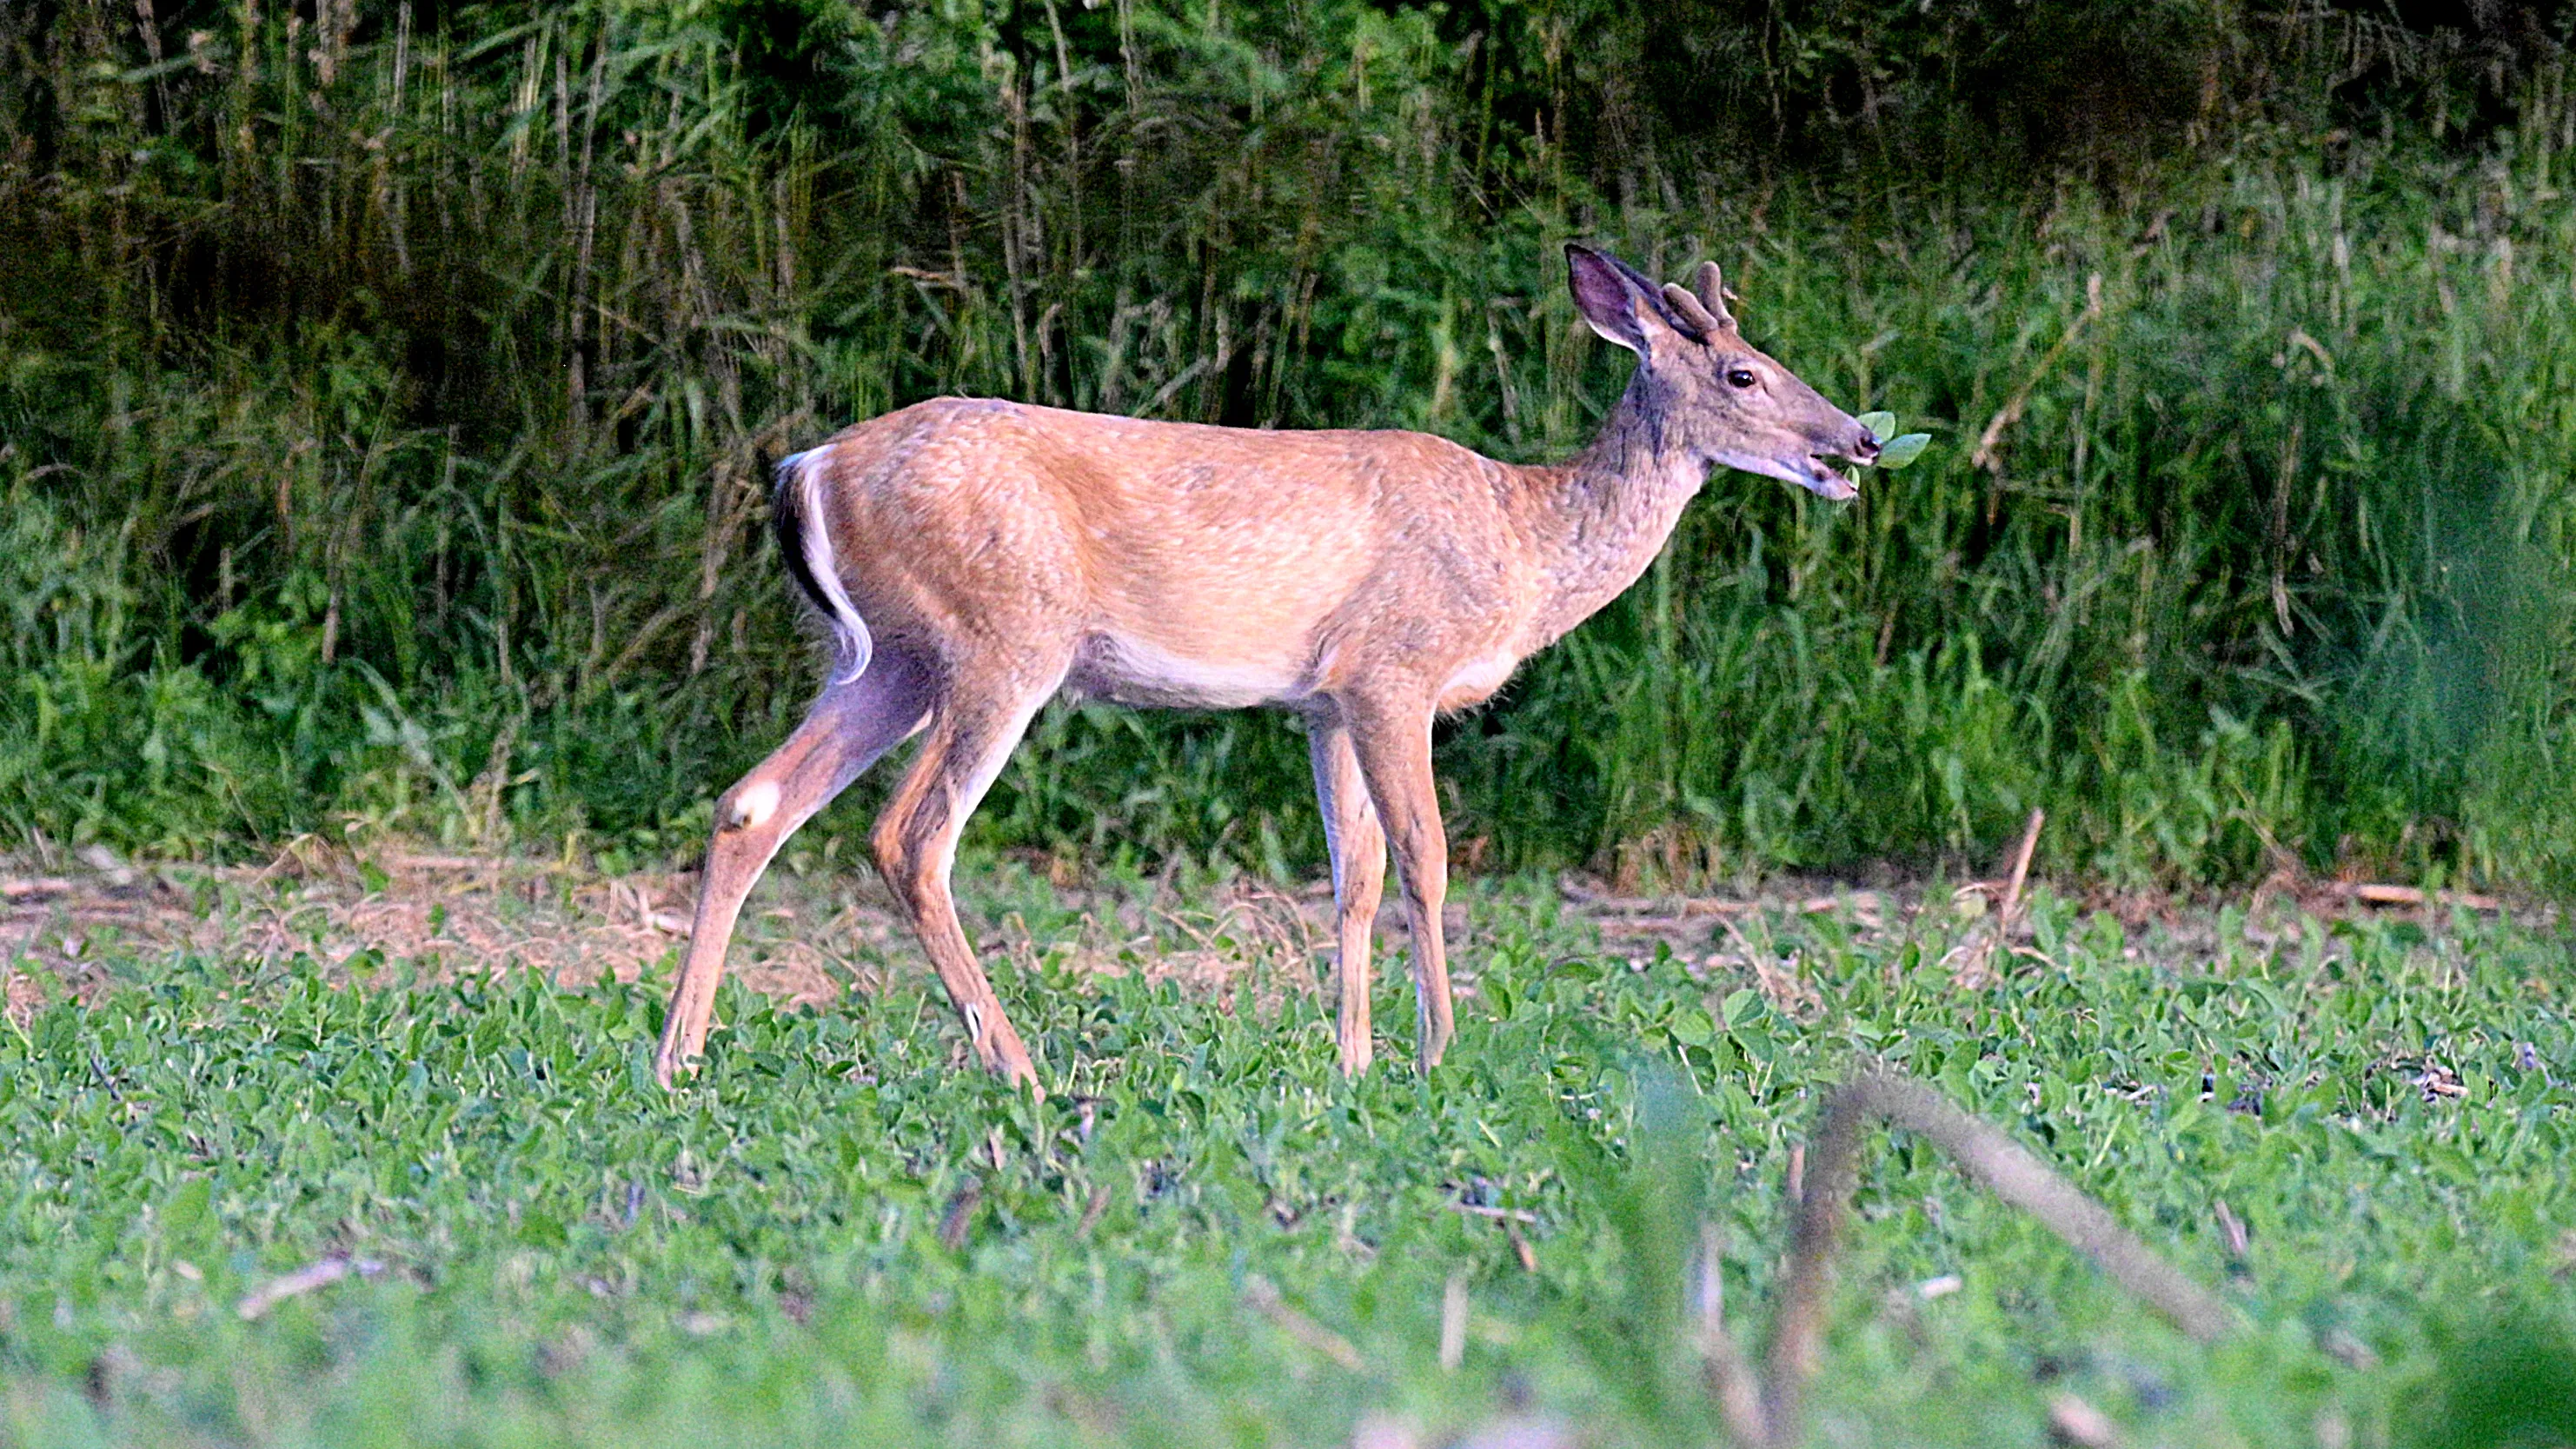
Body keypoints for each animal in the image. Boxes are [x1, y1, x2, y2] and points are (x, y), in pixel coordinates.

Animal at [651, 243, 1881, 1091]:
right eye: (1744, 373)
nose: (1860, 441)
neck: (1524, 544)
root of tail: (811, 465)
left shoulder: (1325, 700)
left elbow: (1355, 876)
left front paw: (1354, 1060)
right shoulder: (1396, 668)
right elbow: (1429, 860)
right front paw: (1441, 1050)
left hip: (893, 660)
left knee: (751, 802)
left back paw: (679, 1058)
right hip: (1002, 639)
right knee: (910, 835)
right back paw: (1020, 1066)